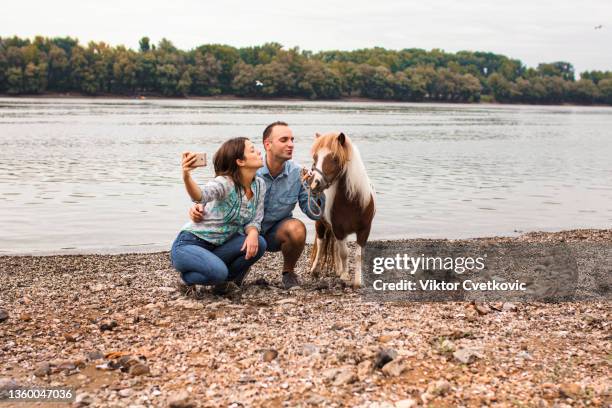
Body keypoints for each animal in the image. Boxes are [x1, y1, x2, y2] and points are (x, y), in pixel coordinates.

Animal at [308, 131, 376, 286]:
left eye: (335, 158)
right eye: (315, 157)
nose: (314, 184)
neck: (352, 202)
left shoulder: (364, 230)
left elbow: (357, 255)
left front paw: (357, 281)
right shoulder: (339, 230)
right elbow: (344, 253)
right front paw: (345, 275)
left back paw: (338, 270)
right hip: (320, 224)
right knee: (321, 243)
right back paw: (315, 270)